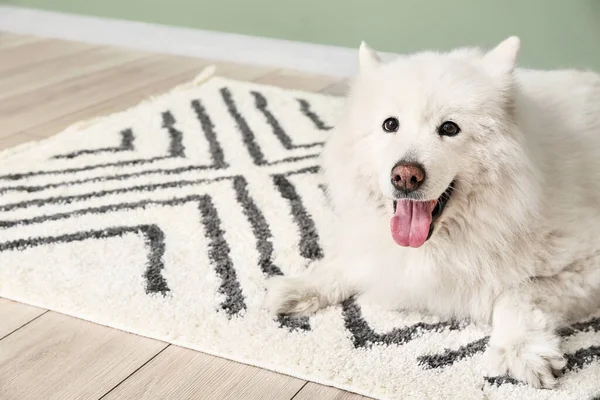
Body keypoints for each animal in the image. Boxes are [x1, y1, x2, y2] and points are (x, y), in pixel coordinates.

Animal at [266, 36, 600, 388]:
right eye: (390, 125)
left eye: (450, 128)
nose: (405, 176)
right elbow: (348, 265)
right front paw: (299, 287)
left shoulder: (586, 263)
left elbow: (518, 292)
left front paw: (520, 351)